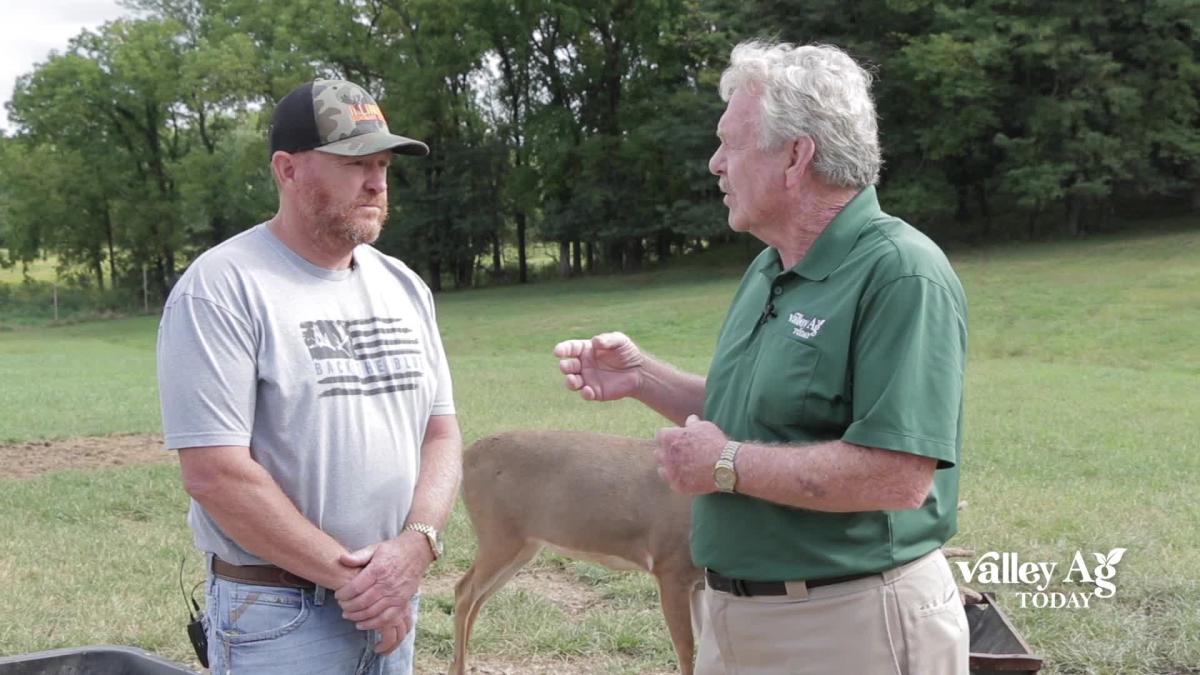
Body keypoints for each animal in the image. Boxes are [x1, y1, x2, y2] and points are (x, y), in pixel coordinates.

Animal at [448, 427, 700, 667]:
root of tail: (465, 456)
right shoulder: (671, 567)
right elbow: (686, 649)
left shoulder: (696, 581)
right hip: (498, 534)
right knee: (464, 591)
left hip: (523, 546)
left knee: (479, 598)